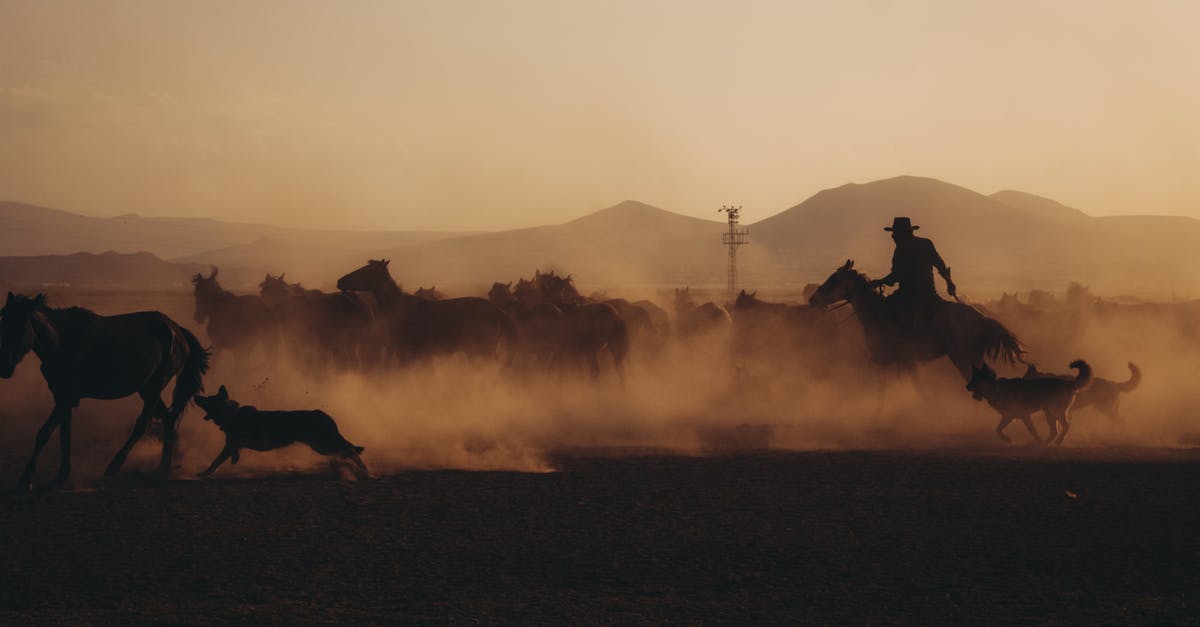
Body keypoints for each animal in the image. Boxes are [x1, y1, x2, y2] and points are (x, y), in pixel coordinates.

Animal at [0, 290, 210, 485]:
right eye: (4, 322)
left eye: (21, 325)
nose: (5, 367)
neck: (63, 341)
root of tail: (177, 330)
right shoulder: (63, 398)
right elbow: (63, 435)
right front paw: (61, 475)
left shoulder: (66, 398)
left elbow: (45, 432)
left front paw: (26, 477)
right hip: (146, 388)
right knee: (168, 420)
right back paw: (161, 469)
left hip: (155, 387)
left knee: (143, 424)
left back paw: (115, 465)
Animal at [195, 381, 369, 475]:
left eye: (207, 400)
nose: (196, 396)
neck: (231, 415)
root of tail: (325, 415)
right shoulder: (231, 444)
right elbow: (221, 459)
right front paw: (208, 471)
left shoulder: (238, 441)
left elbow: (223, 456)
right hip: (322, 445)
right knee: (346, 450)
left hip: (322, 444)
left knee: (349, 450)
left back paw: (364, 469)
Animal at [806, 258, 1022, 374]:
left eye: (833, 279)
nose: (812, 299)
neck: (876, 312)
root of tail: (981, 318)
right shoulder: (904, 362)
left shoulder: (889, 360)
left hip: (964, 357)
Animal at [960, 355, 1094, 444]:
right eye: (972, 378)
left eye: (976, 380)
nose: (966, 387)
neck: (996, 388)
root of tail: (1067, 383)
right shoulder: (1015, 416)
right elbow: (998, 429)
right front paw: (1007, 439)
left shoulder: (1018, 416)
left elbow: (1029, 430)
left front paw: (1010, 439)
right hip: (1049, 413)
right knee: (1055, 430)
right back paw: (1046, 442)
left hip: (1054, 412)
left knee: (1066, 426)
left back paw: (1057, 441)